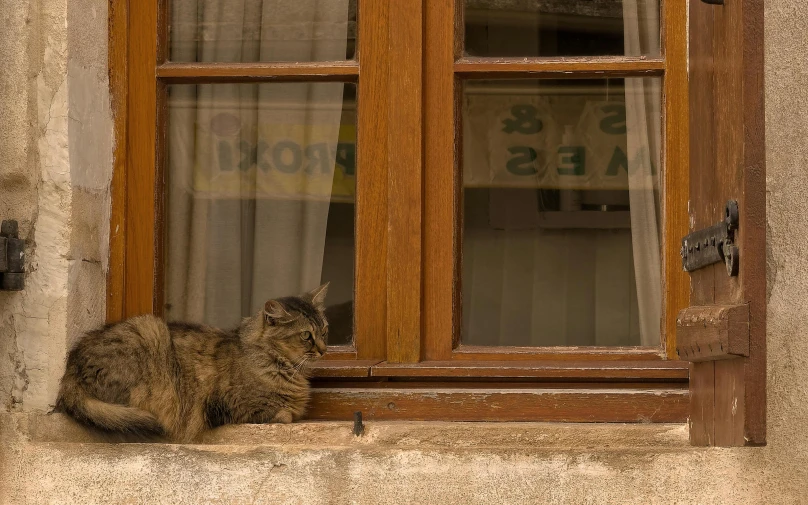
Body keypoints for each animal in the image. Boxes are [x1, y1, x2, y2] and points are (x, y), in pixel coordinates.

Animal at [55, 284, 330, 440]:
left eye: (325, 330)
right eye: (306, 336)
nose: (324, 350)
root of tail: (69, 371)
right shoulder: (231, 406)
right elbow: (284, 414)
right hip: (150, 331)